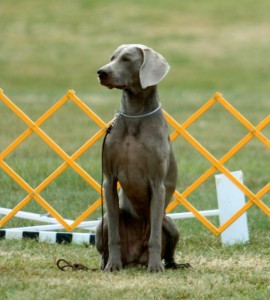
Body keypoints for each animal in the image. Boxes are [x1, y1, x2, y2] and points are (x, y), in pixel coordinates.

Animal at [96, 44, 189, 272]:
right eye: (112, 58)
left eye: (127, 59)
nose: (101, 72)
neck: (134, 115)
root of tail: (134, 259)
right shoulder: (109, 180)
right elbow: (114, 235)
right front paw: (113, 265)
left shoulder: (157, 184)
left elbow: (154, 236)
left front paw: (155, 267)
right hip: (101, 222)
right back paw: (107, 263)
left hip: (170, 223)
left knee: (166, 248)